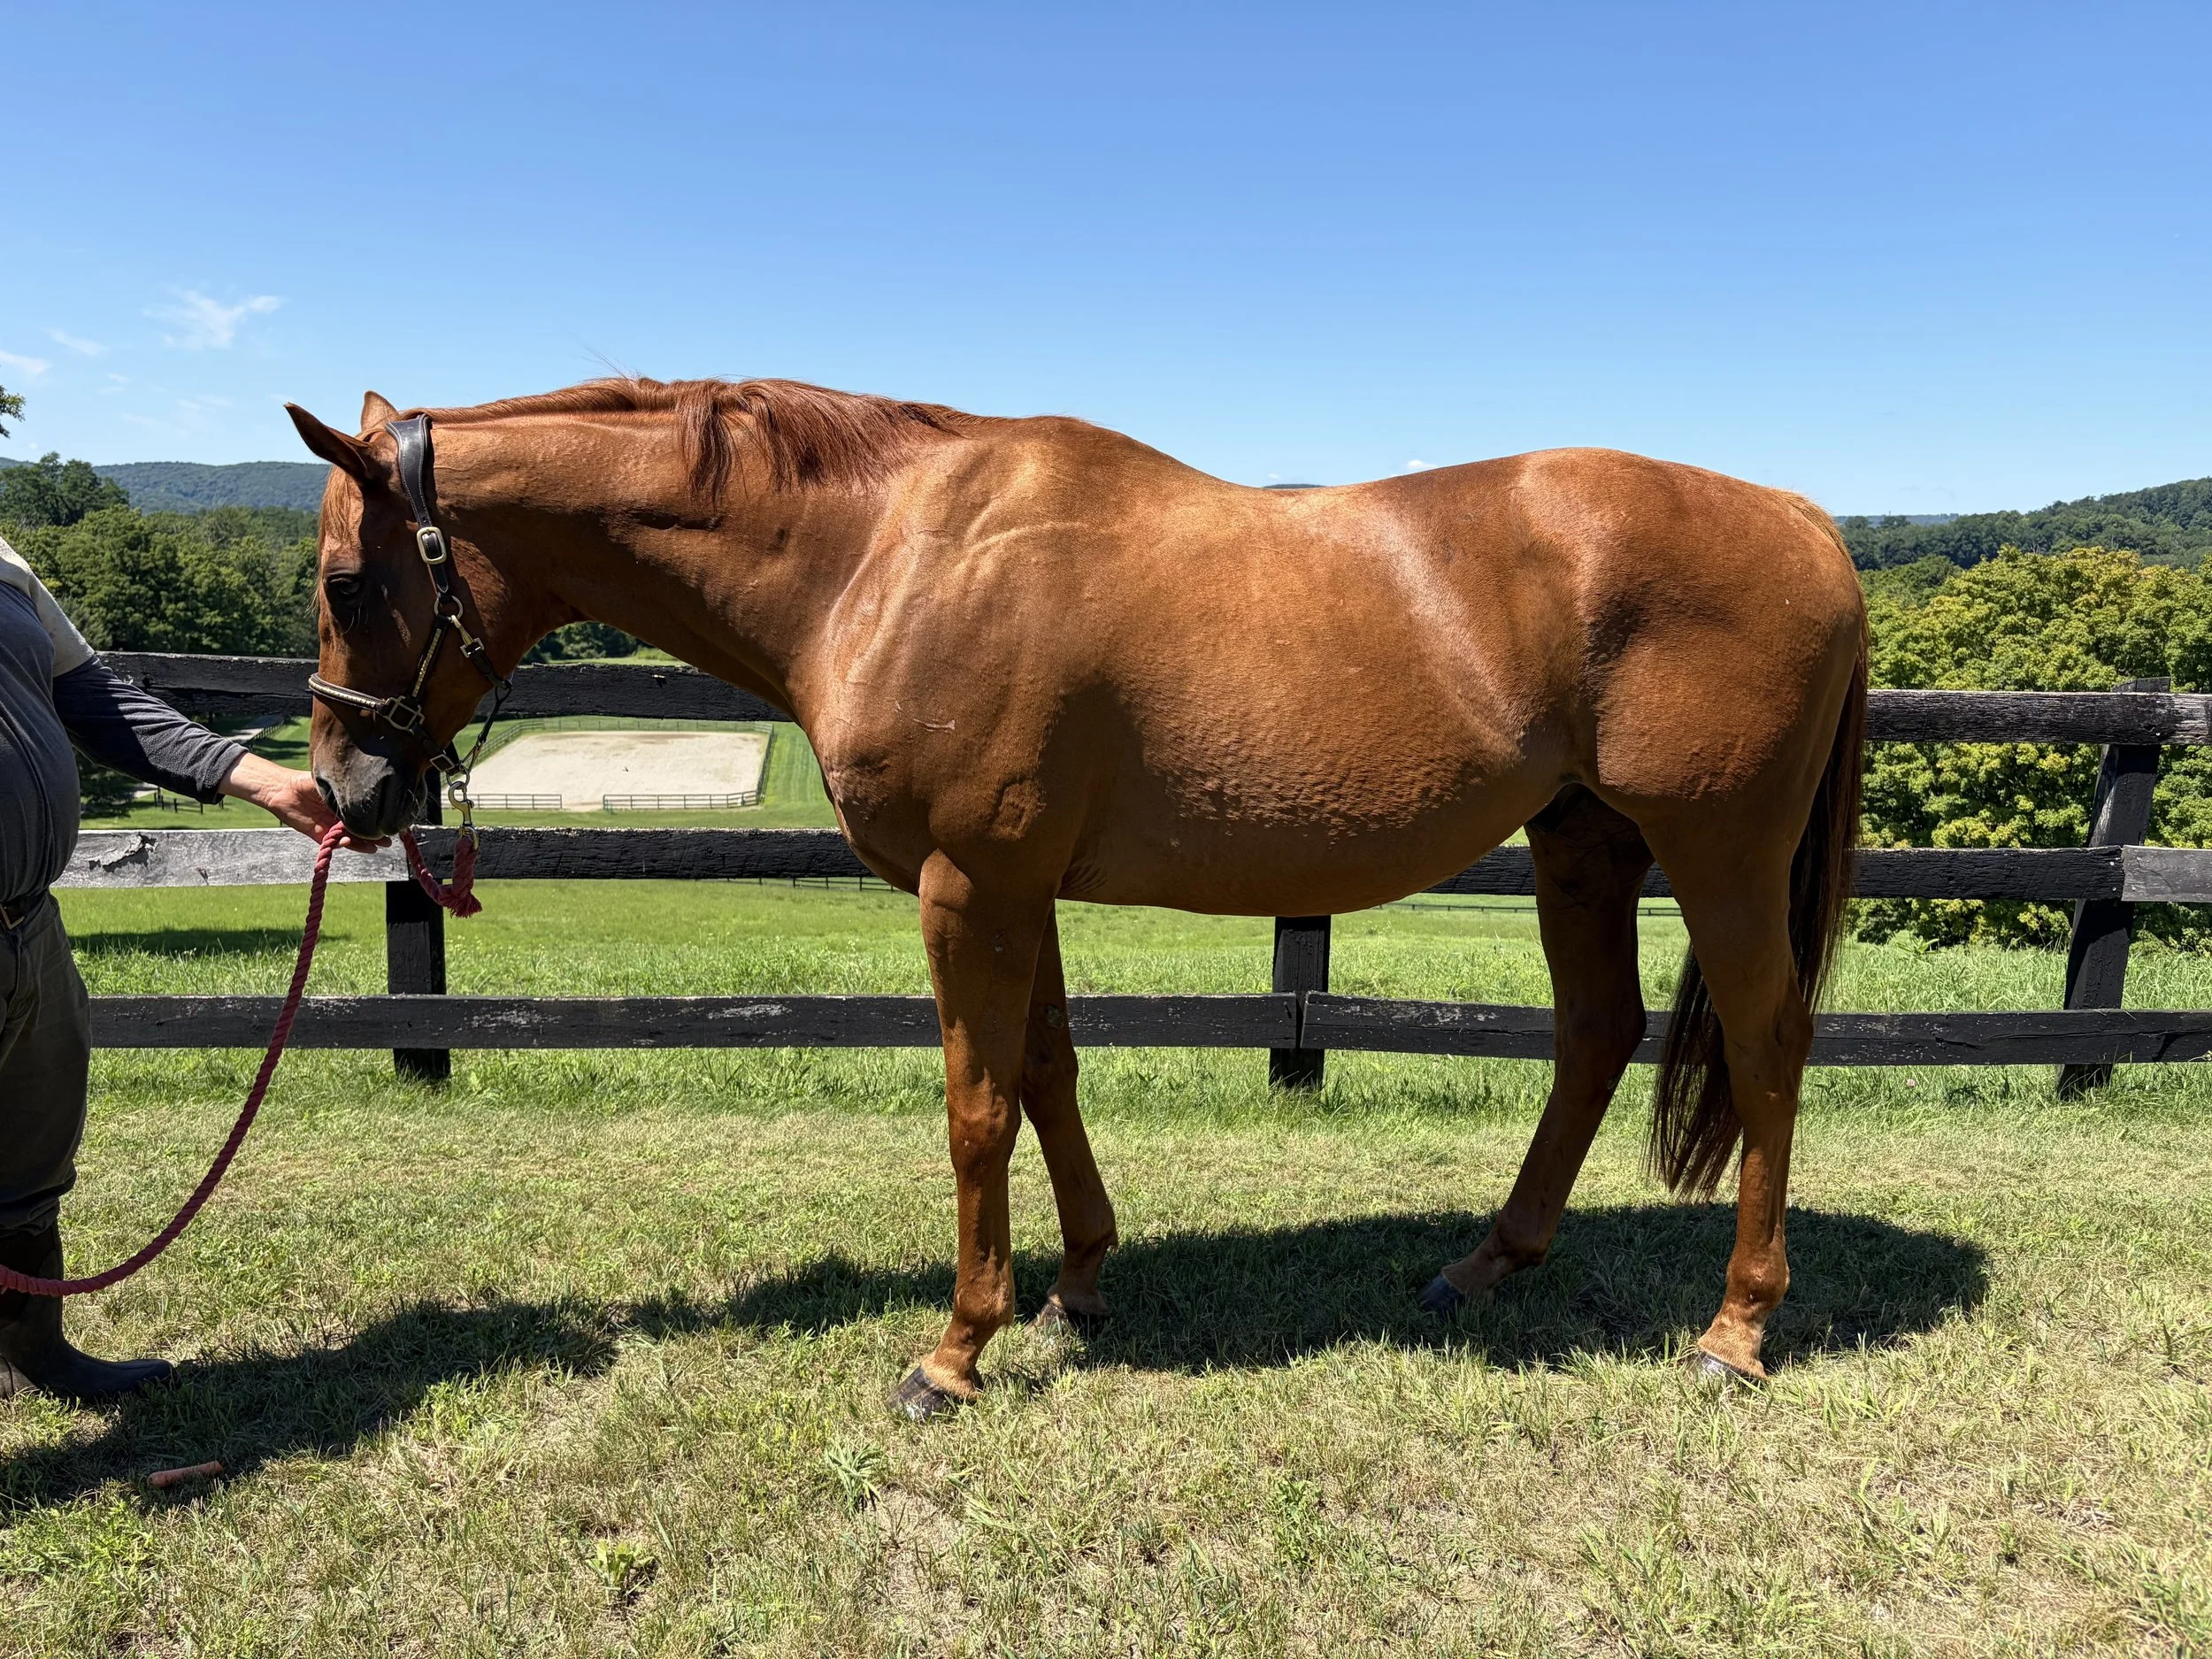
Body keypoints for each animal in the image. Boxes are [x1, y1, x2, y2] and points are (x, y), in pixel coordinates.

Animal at [285, 378, 1866, 1418]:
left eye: (353, 579)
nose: (349, 787)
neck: (889, 551)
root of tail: (1804, 520)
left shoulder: (967, 887)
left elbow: (977, 1105)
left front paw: (955, 1348)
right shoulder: (1016, 887)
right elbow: (1048, 1066)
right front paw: (1078, 1284)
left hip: (1718, 854)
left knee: (1770, 1045)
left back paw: (1736, 1326)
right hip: (1580, 842)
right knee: (1595, 1033)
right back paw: (1488, 1261)